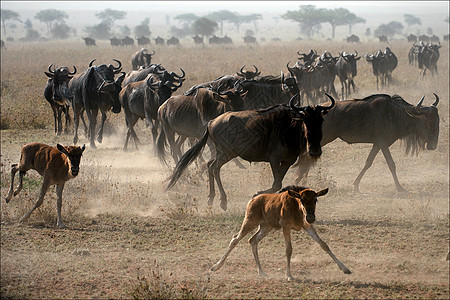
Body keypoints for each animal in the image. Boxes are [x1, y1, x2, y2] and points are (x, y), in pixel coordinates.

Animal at [211, 185, 352, 282]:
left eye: (316, 200)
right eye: (301, 199)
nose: (311, 217)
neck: (297, 209)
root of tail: (252, 200)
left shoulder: (307, 226)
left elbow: (324, 245)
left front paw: (345, 268)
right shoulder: (286, 226)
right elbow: (288, 249)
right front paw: (289, 275)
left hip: (266, 227)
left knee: (253, 240)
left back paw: (261, 272)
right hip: (249, 222)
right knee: (235, 239)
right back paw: (216, 266)